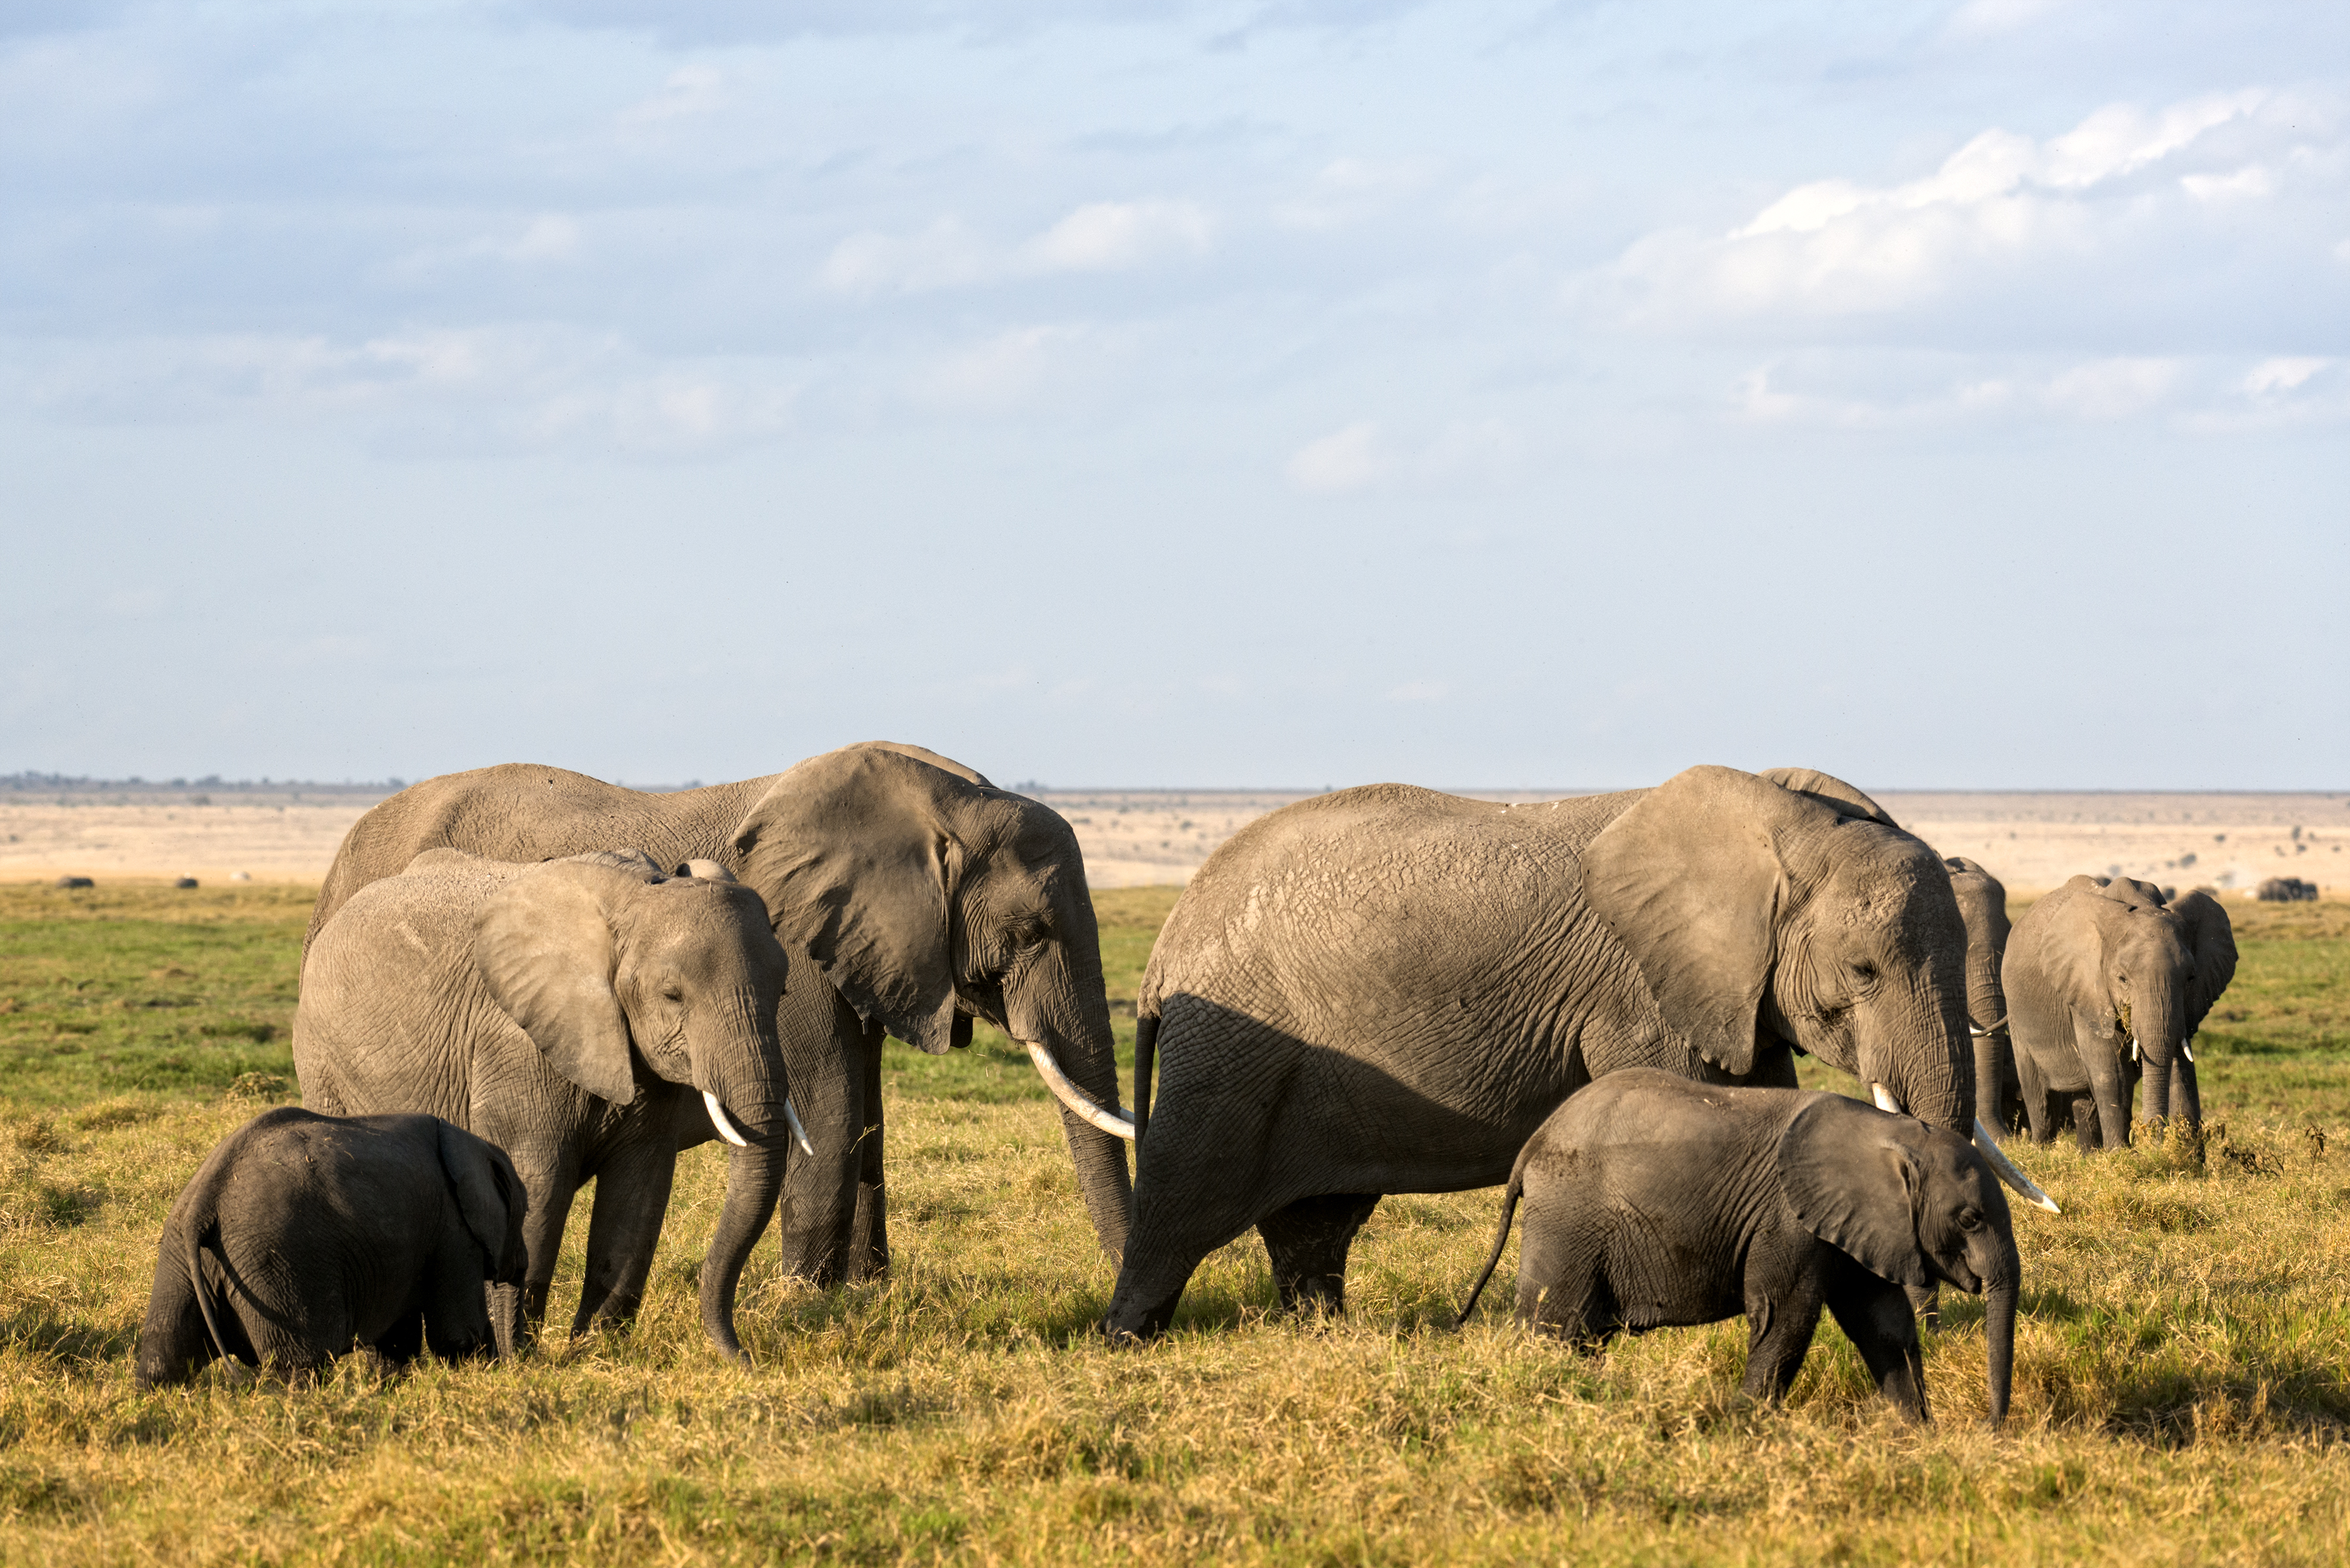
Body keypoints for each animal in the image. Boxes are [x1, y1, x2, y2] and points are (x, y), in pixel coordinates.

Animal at [135, 1107, 529, 1388]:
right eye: (523, 1214)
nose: (517, 1367)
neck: (473, 1146)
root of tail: (205, 1202)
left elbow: (393, 1340)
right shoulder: (453, 1232)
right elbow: (459, 1336)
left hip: (180, 1258)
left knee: (163, 1359)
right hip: (277, 1264)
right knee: (299, 1367)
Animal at [295, 849, 809, 1348]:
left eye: (783, 990)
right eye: (672, 995)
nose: (743, 1356)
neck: (632, 901)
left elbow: (638, 1195)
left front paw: (595, 1353)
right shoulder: (515, 1050)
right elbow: (537, 1186)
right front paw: (514, 1357)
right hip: (321, 1060)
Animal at [1101, 763, 2052, 1341]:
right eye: (1860, 971)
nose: (1931, 1313)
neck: (1781, 821)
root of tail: (1168, 945)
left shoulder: (1729, 990)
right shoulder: (1644, 985)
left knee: (1317, 1221)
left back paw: (1327, 1335)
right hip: (1230, 1049)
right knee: (1184, 1201)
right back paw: (1127, 1340)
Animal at [1452, 1070, 2017, 1428]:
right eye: (1969, 1219)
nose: (1987, 1428)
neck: (1888, 1133)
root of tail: (1532, 1146)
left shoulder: (1863, 1223)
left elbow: (1884, 1323)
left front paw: (1916, 1435)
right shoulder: (1788, 1218)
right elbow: (1785, 1317)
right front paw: (1747, 1425)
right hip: (1568, 1220)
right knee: (1553, 1325)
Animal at [2003, 875, 2237, 1150]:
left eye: (2190, 978)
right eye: (2122, 979)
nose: (2154, 1139)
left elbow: (2183, 1069)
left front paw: (2187, 1153)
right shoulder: (2087, 990)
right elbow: (2111, 1074)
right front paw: (2121, 1155)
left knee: (2084, 1099)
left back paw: (2089, 1154)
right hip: (2016, 1012)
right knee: (2039, 1095)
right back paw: (2041, 1150)